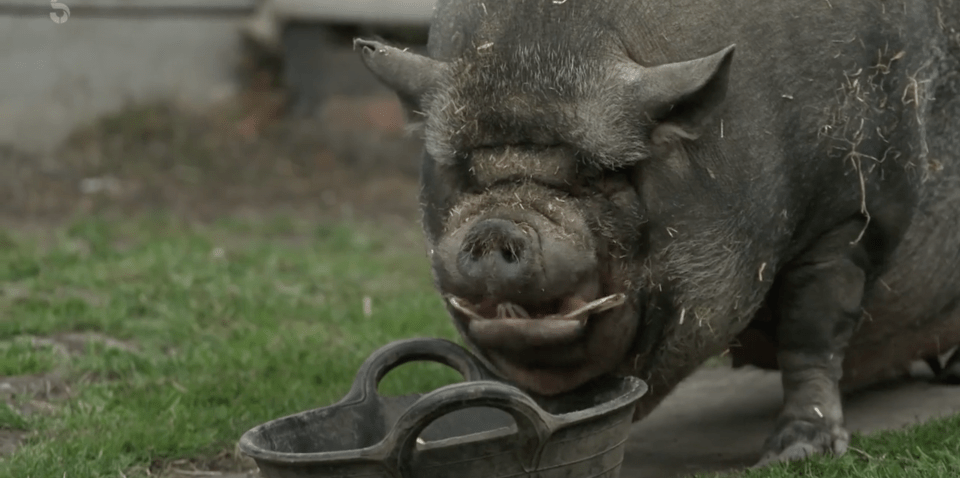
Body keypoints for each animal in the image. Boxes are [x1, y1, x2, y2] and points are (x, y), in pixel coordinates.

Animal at [354, 0, 960, 464]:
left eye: (602, 173)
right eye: (464, 171)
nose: (498, 223)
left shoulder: (851, 216)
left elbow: (811, 333)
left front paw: (794, 453)